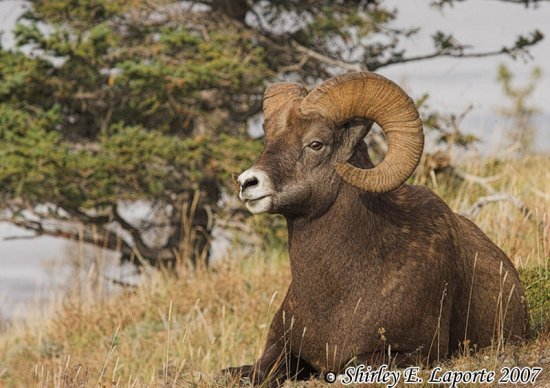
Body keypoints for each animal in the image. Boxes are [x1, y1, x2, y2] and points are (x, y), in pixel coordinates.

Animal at [225, 72, 532, 384]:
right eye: (269, 139)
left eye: (316, 144)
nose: (248, 183)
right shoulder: (280, 347)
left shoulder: (414, 352)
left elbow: (351, 364)